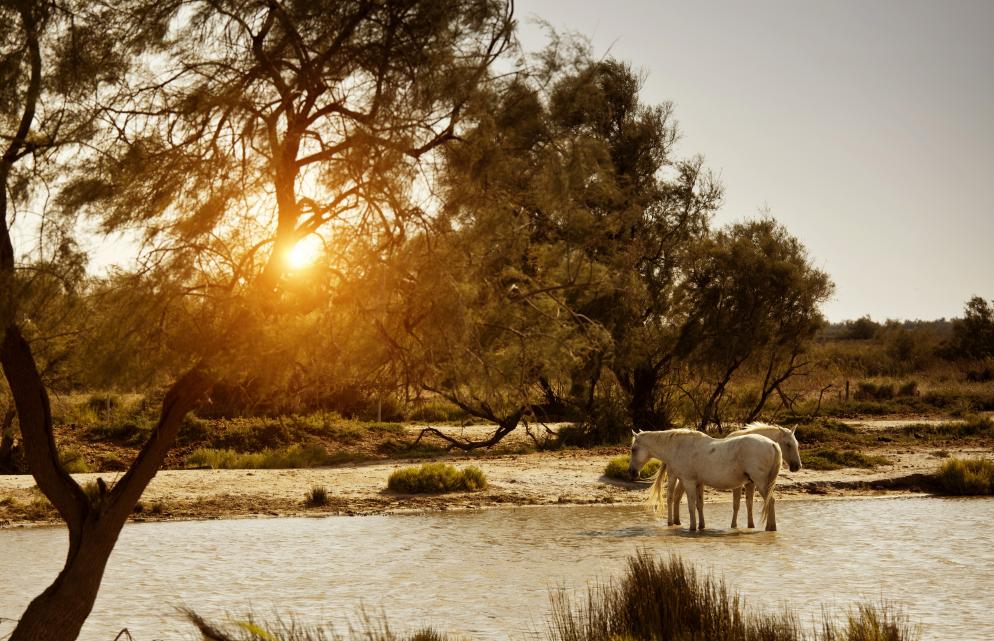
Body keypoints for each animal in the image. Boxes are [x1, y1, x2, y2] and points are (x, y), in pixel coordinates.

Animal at [628, 429, 783, 531]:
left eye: (633, 449)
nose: (632, 473)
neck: (678, 447)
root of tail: (772, 444)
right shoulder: (698, 483)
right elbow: (699, 505)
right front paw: (701, 526)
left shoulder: (688, 482)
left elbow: (690, 505)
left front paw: (692, 527)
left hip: (761, 484)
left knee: (770, 501)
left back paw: (770, 528)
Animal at [670, 422, 802, 529]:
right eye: (788, 444)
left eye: (797, 443)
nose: (797, 466)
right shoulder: (739, 485)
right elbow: (736, 505)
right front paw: (734, 525)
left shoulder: (750, 483)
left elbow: (749, 504)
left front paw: (749, 525)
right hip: (685, 479)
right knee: (677, 497)